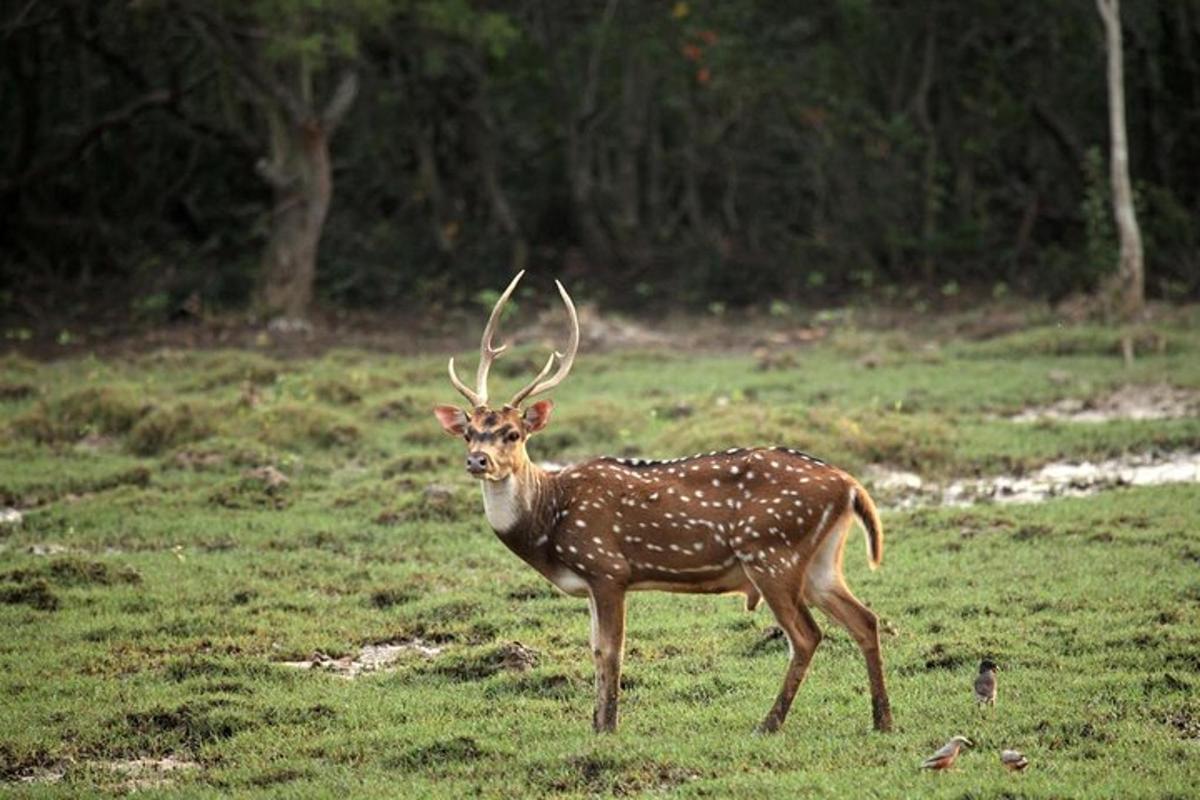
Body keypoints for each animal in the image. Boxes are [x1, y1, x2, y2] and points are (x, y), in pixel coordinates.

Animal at [432, 273, 892, 734]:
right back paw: (882, 720)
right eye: (469, 432)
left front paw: (609, 727)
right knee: (865, 619)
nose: (477, 460)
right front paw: (595, 725)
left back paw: (769, 723)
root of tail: (851, 485)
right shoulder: (593, 582)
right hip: (819, 562)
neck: (549, 522)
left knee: (807, 635)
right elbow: (594, 650)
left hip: (771, 551)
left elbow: (611, 650)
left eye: (513, 433)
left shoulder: (607, 568)